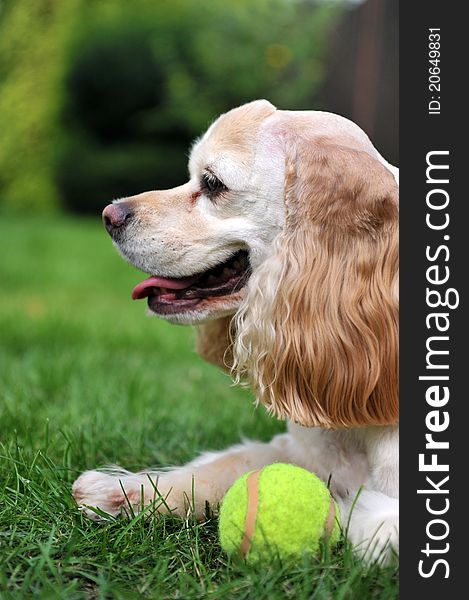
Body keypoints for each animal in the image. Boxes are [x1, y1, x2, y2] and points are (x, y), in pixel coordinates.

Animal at [74, 98, 398, 564]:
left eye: (212, 184)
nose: (109, 215)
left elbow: (353, 517)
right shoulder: (295, 449)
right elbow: (223, 465)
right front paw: (122, 490)